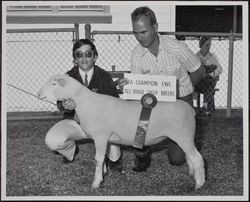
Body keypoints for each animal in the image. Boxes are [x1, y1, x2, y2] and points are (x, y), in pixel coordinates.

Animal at [37, 74, 205, 189]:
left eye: (54, 83)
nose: (38, 94)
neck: (85, 102)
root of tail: (190, 109)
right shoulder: (105, 139)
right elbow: (103, 157)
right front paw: (103, 174)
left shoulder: (100, 136)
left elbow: (98, 159)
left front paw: (96, 183)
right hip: (185, 138)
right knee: (191, 157)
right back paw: (193, 175)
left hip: (183, 136)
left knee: (197, 158)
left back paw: (200, 184)